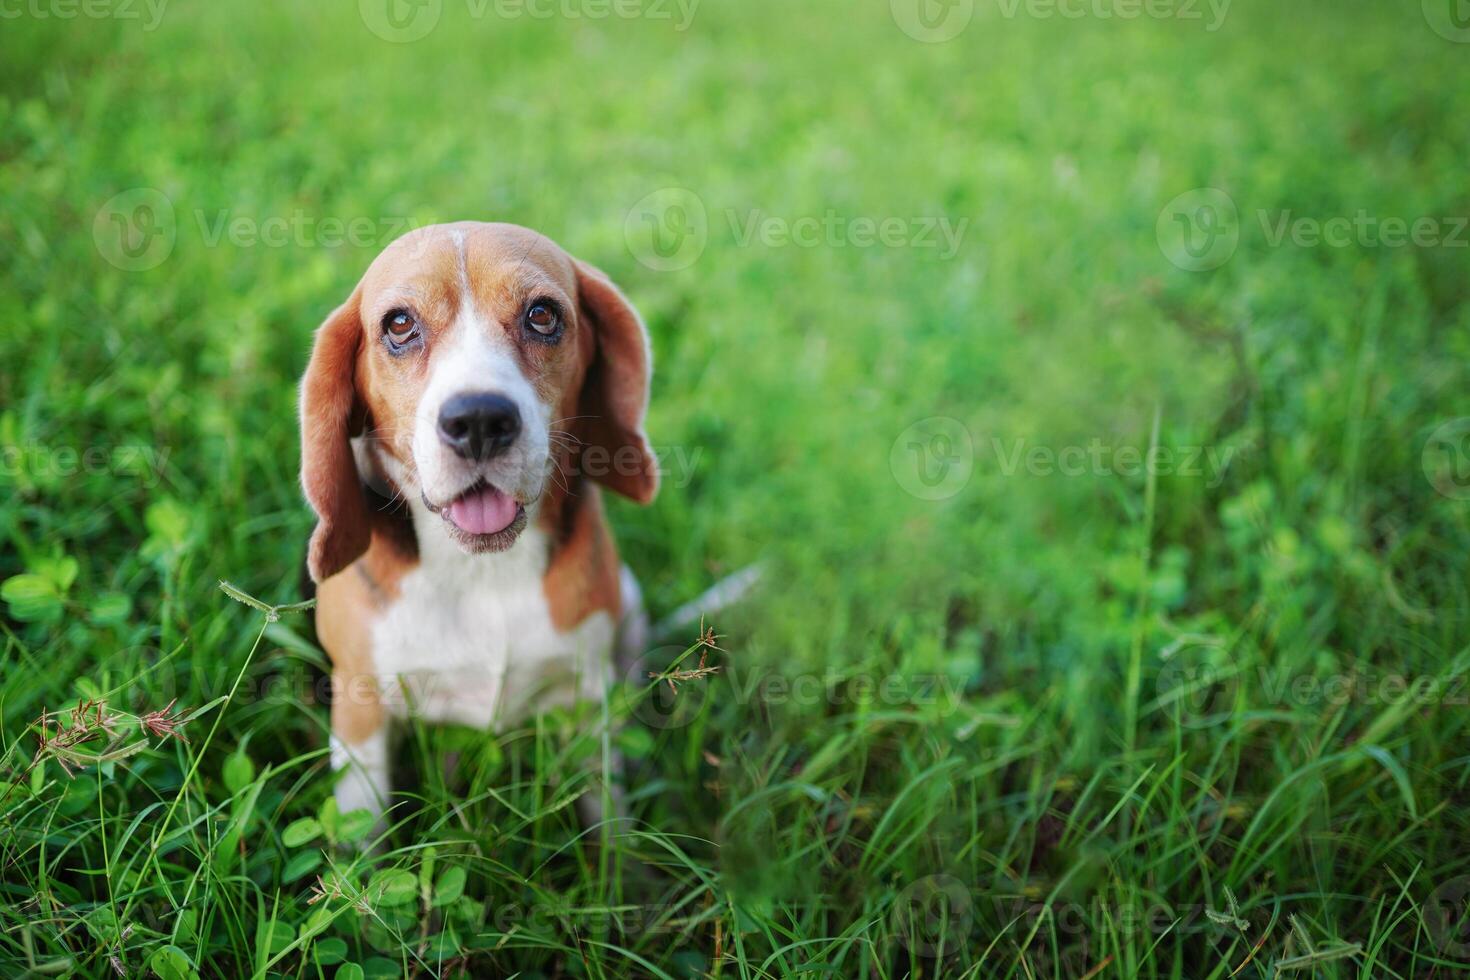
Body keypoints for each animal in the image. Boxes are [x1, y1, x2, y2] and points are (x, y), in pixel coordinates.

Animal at [301, 221, 658, 828]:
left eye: (542, 314)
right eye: (400, 324)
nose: (479, 420)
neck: (481, 569)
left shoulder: (586, 701)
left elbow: (606, 816)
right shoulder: (359, 711)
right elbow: (361, 837)